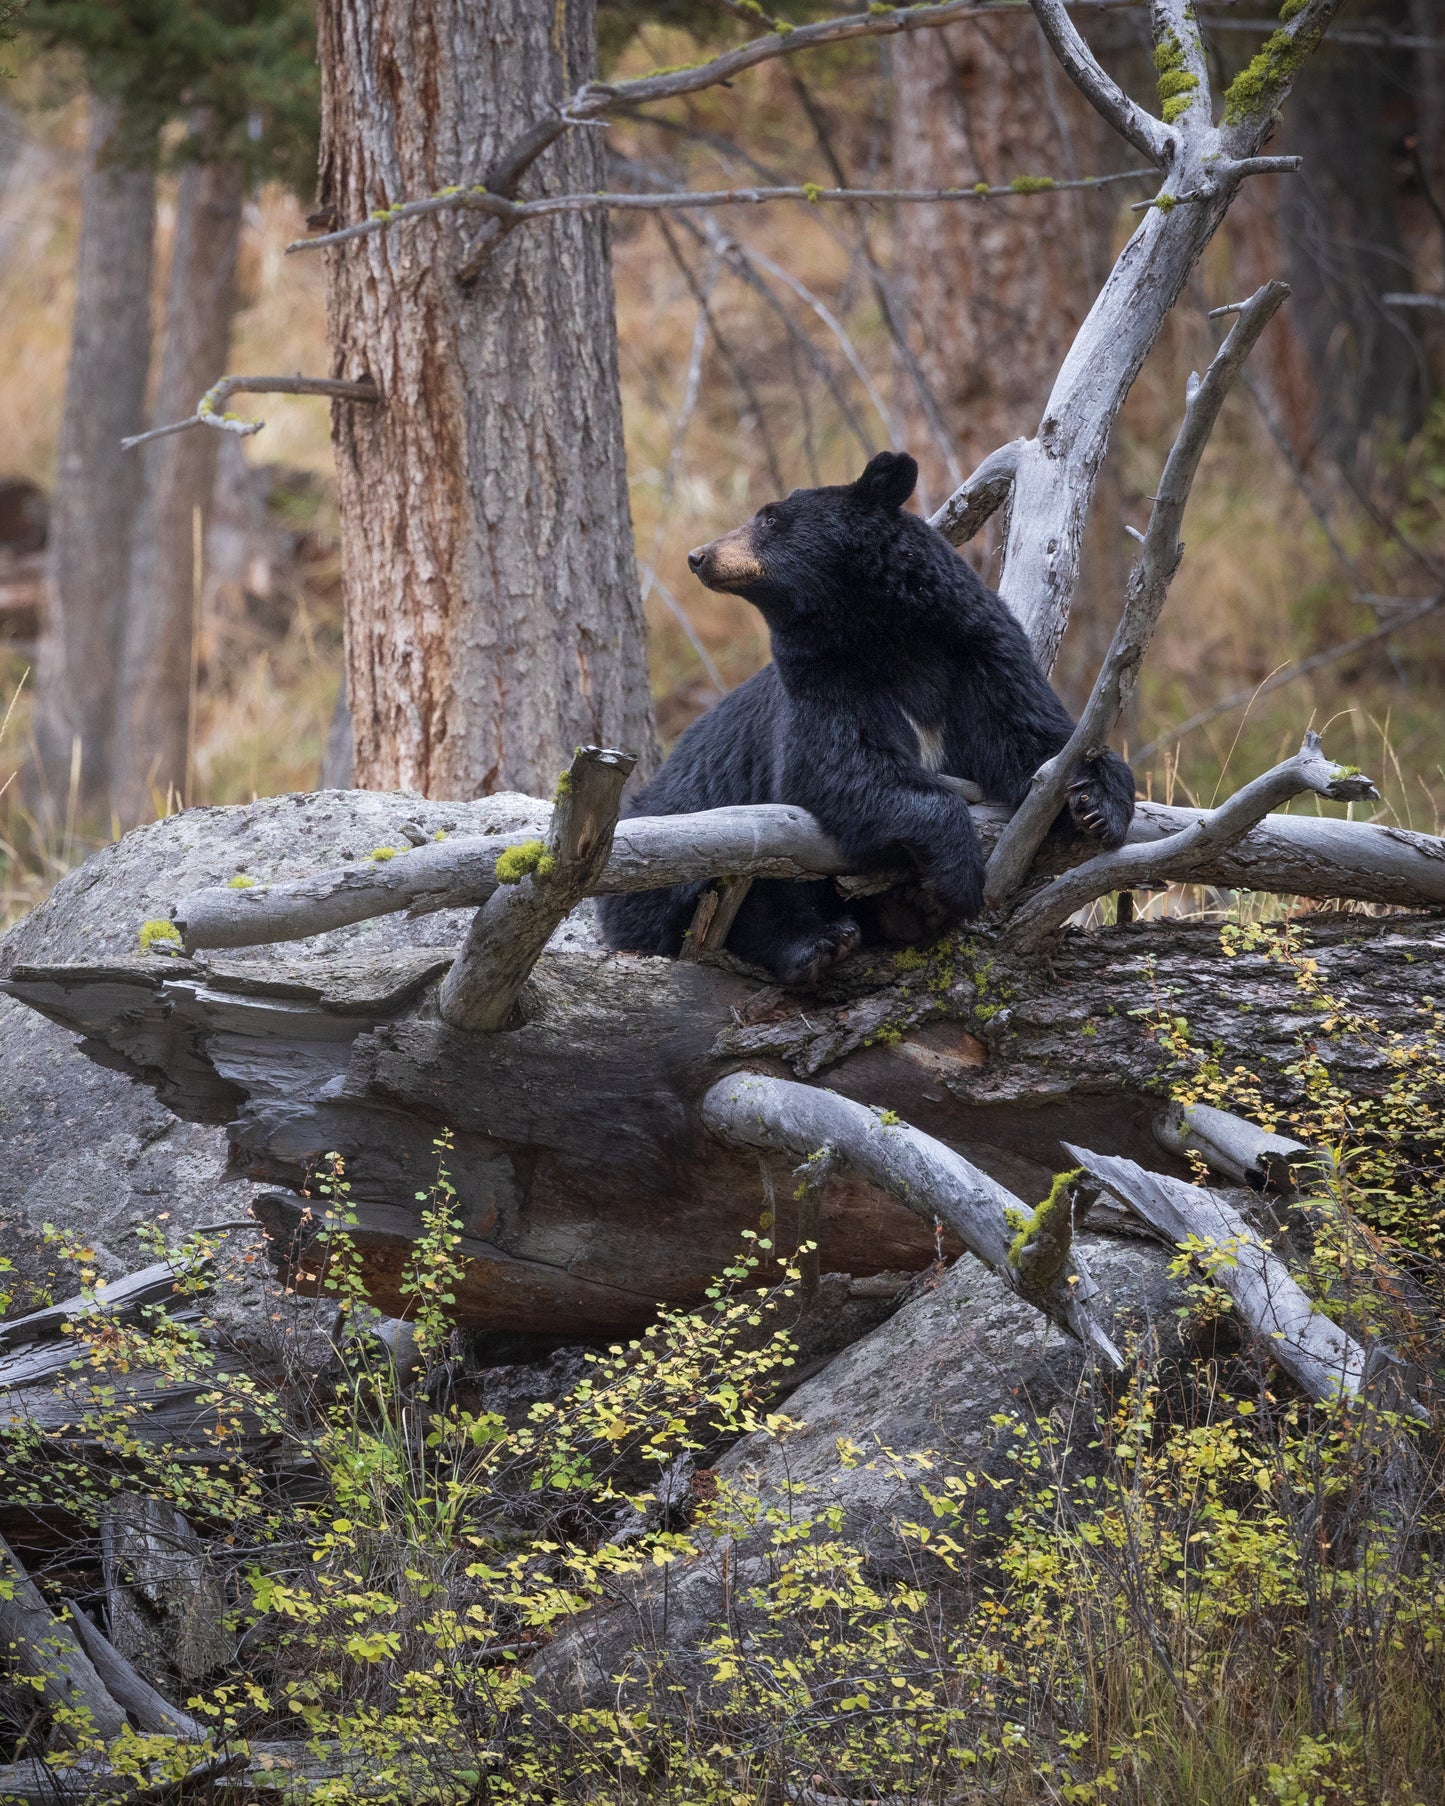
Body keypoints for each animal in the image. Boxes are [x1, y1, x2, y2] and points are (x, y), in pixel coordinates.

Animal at [599, 451, 1127, 989]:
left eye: (769, 518)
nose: (699, 556)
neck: (880, 628)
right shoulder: (821, 676)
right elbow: (841, 767)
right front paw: (959, 874)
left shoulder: (981, 651)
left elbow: (1029, 738)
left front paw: (1096, 804)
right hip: (679, 839)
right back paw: (822, 941)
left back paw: (904, 911)